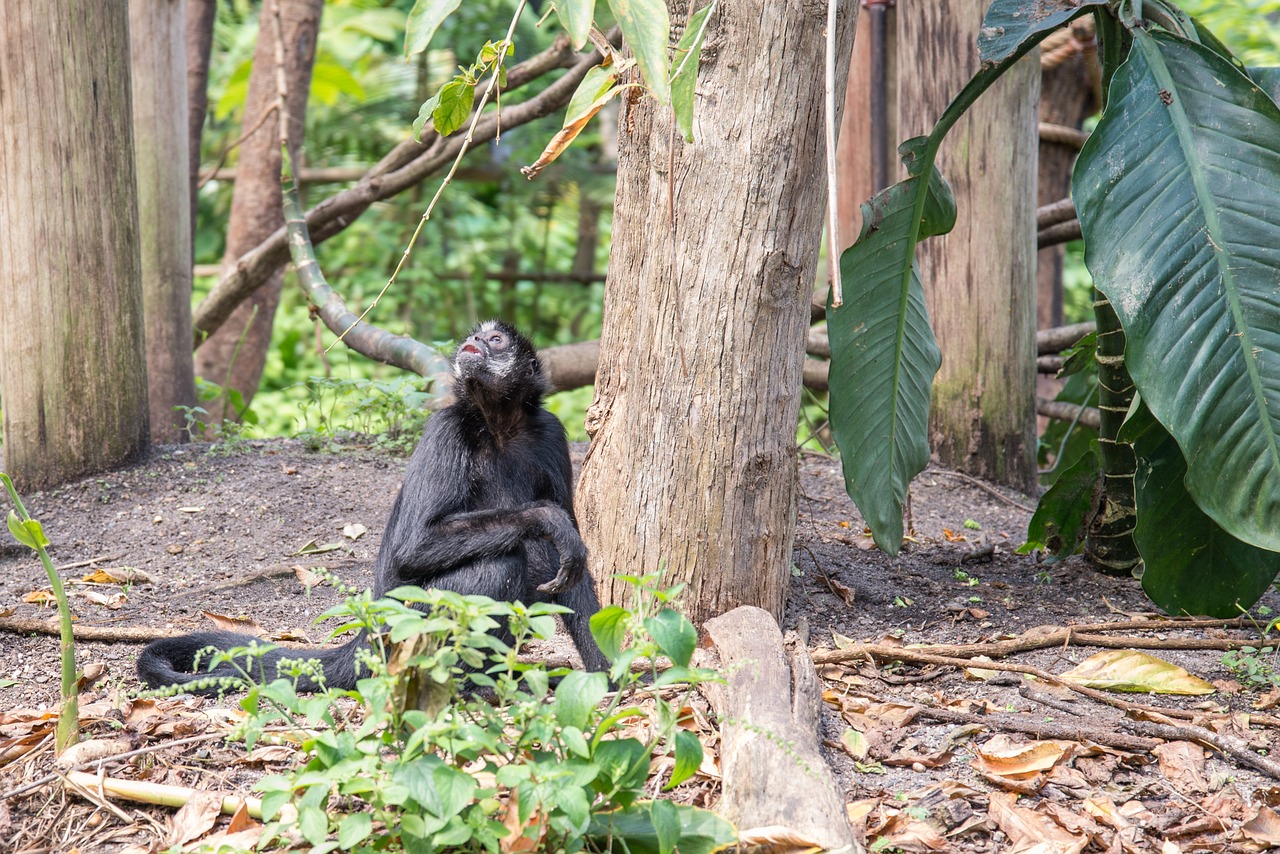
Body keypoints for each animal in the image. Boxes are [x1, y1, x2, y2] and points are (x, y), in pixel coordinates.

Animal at [137, 320, 606, 696]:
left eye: (495, 340)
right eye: (477, 334)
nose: (474, 341)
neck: (500, 425)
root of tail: (369, 636)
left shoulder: (549, 433)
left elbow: (574, 570)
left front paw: (608, 675)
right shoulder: (447, 428)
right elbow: (414, 546)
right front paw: (547, 519)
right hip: (408, 628)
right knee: (501, 561)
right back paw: (470, 687)